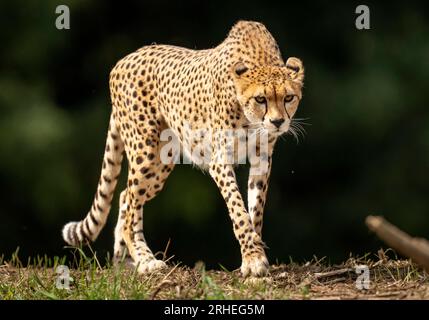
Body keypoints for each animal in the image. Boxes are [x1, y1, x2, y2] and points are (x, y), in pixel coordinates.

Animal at [62, 20, 304, 276]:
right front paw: (253, 257)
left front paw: (254, 255)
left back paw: (124, 261)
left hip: (162, 161)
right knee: (130, 206)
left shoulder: (262, 159)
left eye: (289, 97)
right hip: (146, 152)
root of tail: (124, 59)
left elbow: (255, 210)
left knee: (126, 196)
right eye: (260, 99)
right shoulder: (220, 161)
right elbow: (239, 210)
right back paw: (145, 261)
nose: (277, 122)